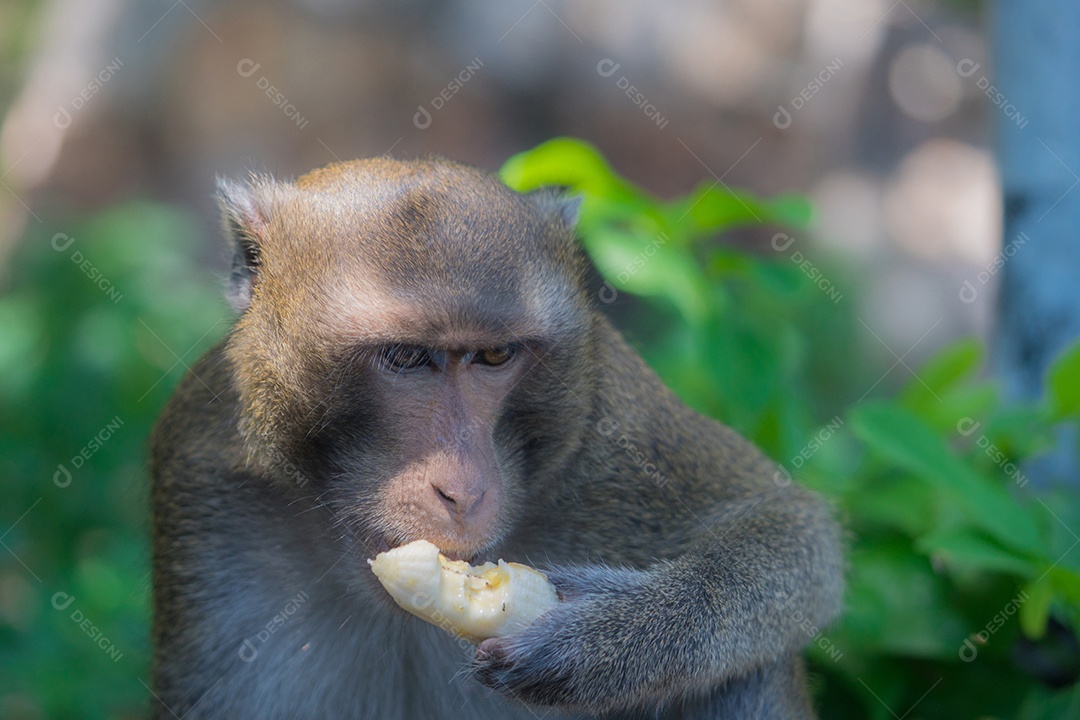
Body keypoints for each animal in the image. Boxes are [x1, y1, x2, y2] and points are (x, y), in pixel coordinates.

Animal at [149, 156, 844, 719]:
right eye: (406, 357)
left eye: (493, 356)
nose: (463, 489)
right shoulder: (206, 477)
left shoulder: (614, 429)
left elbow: (790, 527)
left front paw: (602, 635)